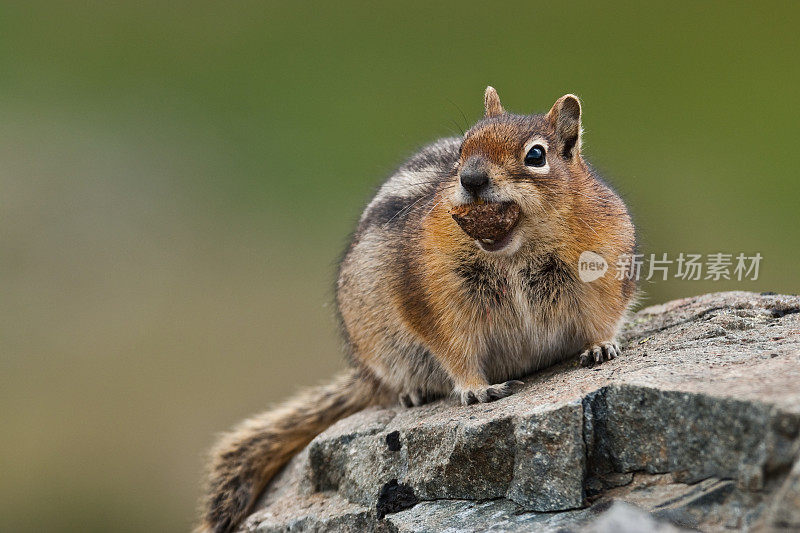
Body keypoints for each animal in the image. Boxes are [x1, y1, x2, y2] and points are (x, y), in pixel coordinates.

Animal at [200, 88, 636, 532]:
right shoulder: (434, 299)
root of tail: (364, 375)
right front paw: (477, 389)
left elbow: (602, 317)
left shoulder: (604, 267)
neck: (514, 251)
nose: (471, 179)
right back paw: (413, 392)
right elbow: (454, 350)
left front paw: (601, 347)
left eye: (536, 155)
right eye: (462, 150)